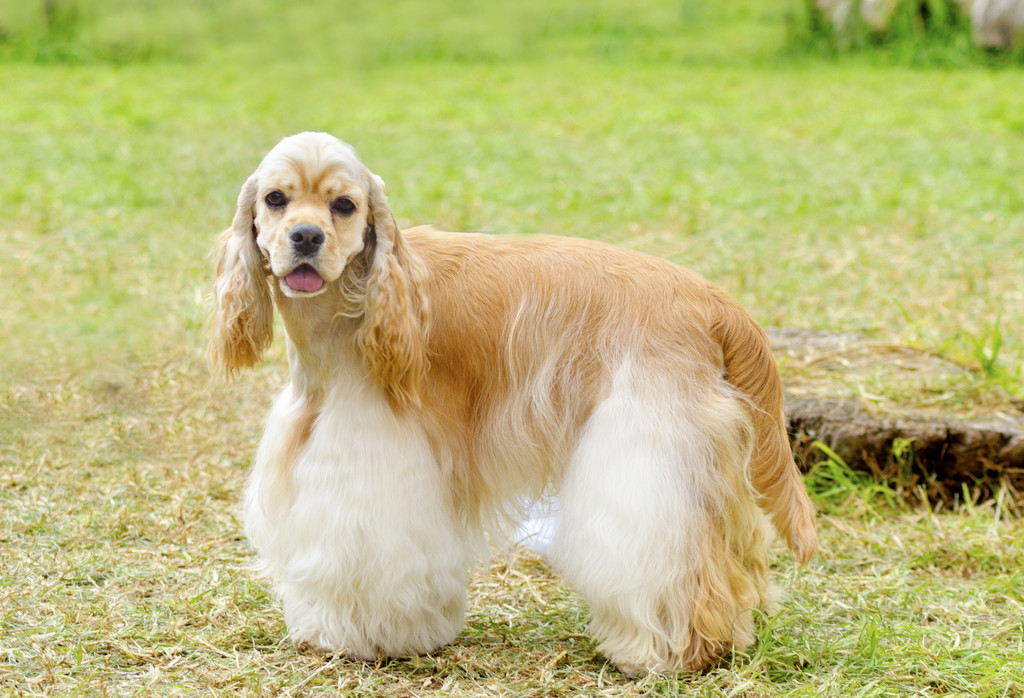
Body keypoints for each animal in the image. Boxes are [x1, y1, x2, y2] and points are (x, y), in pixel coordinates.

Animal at [211, 132, 819, 675]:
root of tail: (713, 299)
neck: (351, 308)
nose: (306, 236)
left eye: (344, 205)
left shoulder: (375, 461)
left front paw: (370, 638)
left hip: (647, 443)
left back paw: (666, 653)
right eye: (275, 198)